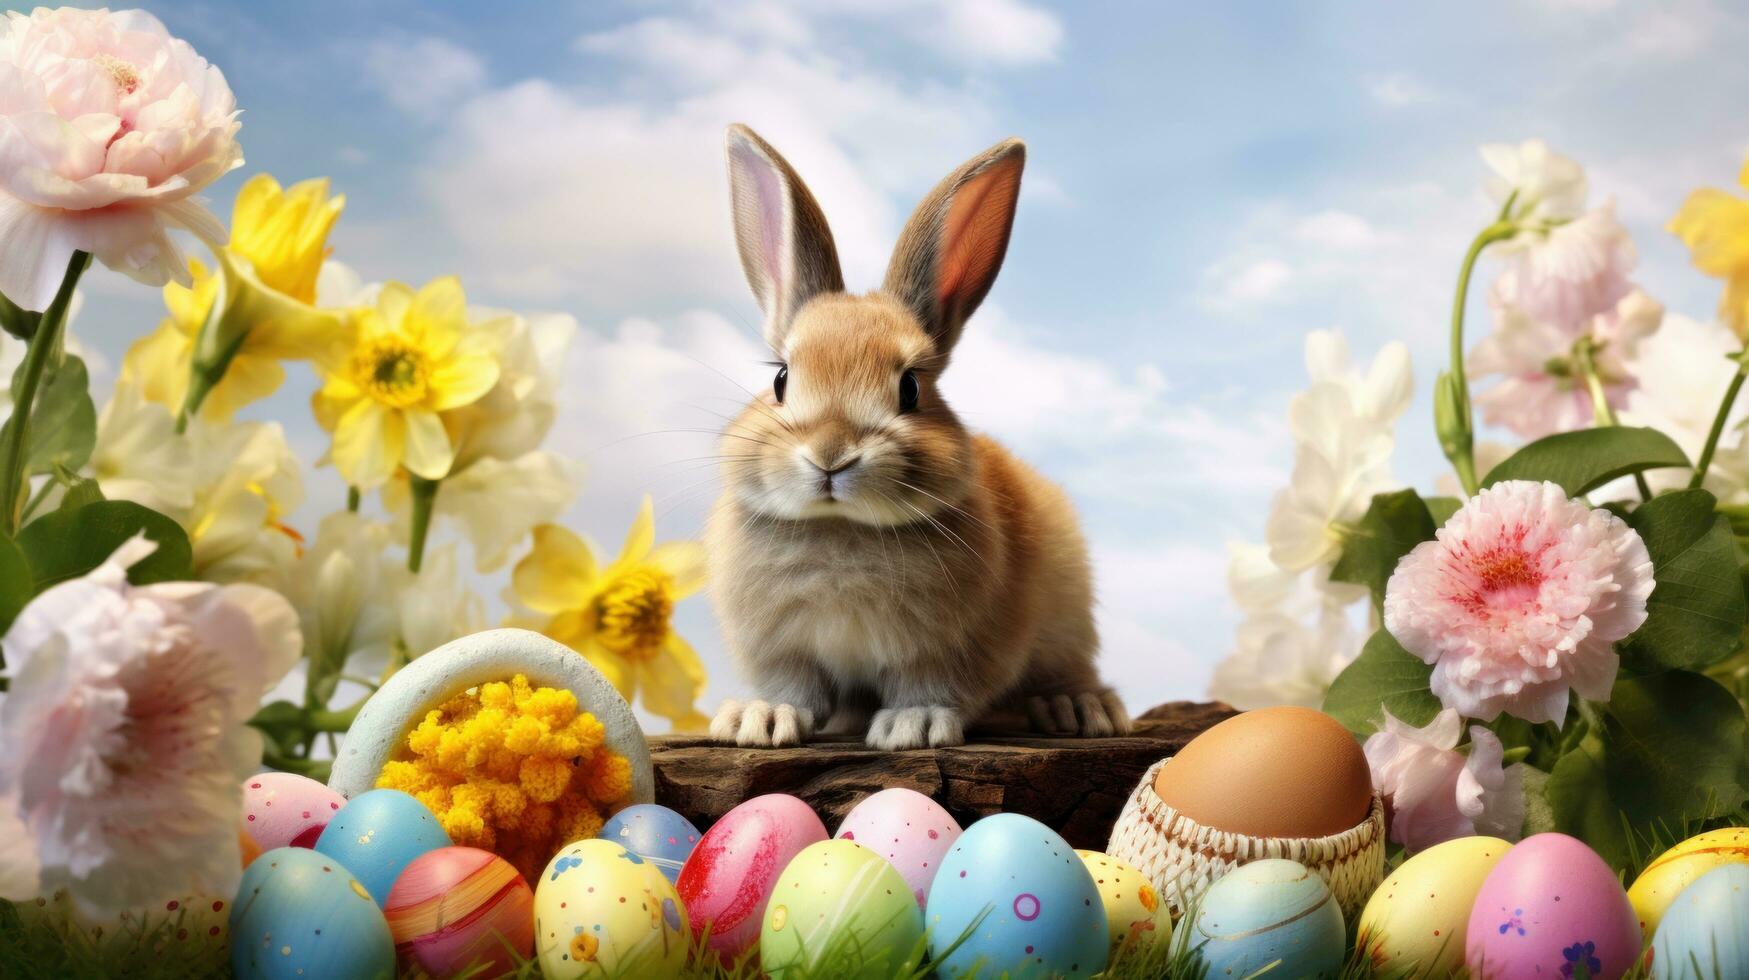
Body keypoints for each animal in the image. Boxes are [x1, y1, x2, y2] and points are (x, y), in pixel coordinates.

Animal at [703, 122, 1126, 749]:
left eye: (910, 389)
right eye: (781, 379)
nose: (831, 455)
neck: (843, 530)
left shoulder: (952, 648)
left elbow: (929, 685)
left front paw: (912, 726)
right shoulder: (781, 651)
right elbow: (793, 689)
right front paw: (759, 719)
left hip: (1069, 616)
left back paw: (1079, 708)